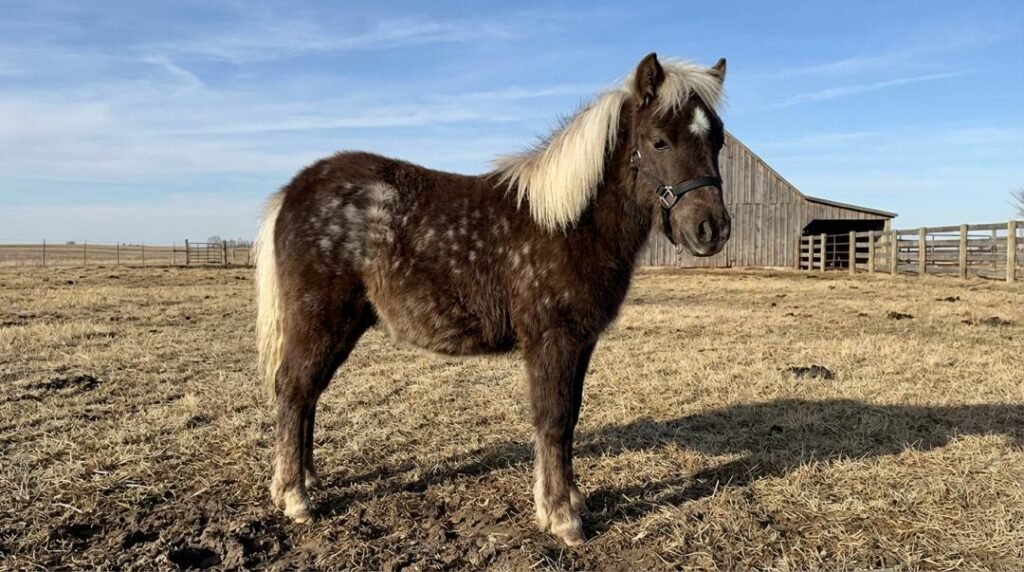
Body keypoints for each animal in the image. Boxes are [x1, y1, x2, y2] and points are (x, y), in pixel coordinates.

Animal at [254, 52, 730, 546]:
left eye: (717, 141)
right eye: (659, 141)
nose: (711, 230)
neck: (569, 223)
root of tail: (292, 191)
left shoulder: (581, 343)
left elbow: (570, 418)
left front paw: (570, 501)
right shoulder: (552, 340)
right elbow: (554, 419)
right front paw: (562, 517)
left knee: (308, 393)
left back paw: (308, 480)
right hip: (319, 320)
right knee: (293, 389)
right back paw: (295, 497)